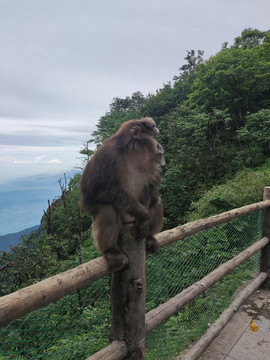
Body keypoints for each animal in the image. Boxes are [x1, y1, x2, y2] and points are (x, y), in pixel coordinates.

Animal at [79, 118, 165, 270]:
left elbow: (150, 188)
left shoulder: (151, 166)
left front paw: (145, 222)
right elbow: (99, 191)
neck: (133, 158)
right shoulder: (108, 157)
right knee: (107, 209)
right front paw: (144, 216)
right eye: (153, 137)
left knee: (157, 200)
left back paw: (150, 237)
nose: (160, 145)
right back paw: (111, 251)